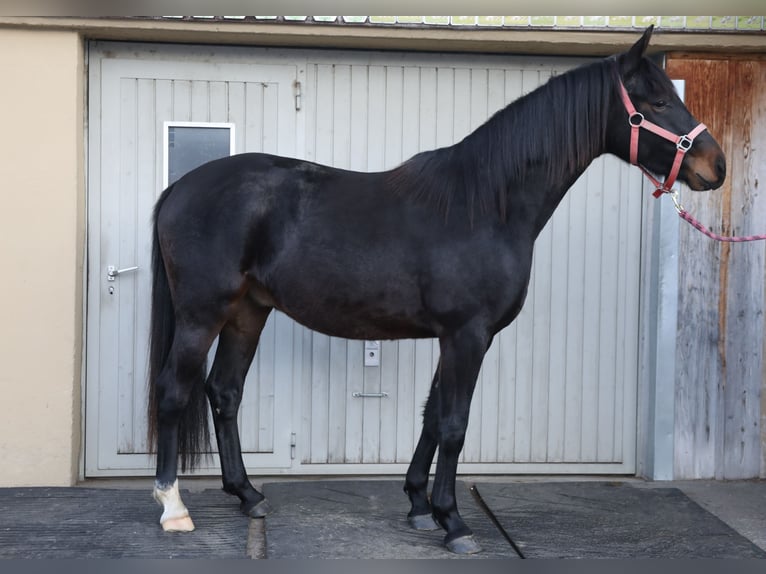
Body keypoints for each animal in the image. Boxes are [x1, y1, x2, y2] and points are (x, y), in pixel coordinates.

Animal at [147, 26, 725, 555]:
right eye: (656, 101)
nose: (715, 166)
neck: (485, 204)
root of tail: (180, 188)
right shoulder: (467, 334)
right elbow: (453, 422)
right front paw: (455, 522)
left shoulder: (455, 337)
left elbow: (431, 414)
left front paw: (420, 507)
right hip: (202, 314)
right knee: (173, 391)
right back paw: (173, 507)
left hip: (248, 312)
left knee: (225, 392)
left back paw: (247, 494)